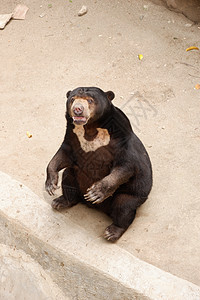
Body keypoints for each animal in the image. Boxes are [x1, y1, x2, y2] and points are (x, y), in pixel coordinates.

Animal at [45, 86, 152, 241]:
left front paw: (95, 193)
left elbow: (125, 166)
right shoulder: (72, 136)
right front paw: (51, 184)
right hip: (76, 177)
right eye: (72, 99)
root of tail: (97, 208)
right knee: (68, 177)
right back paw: (60, 201)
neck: (90, 127)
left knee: (123, 207)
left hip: (133, 194)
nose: (77, 109)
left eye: (90, 100)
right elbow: (63, 155)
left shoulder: (122, 140)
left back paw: (112, 231)